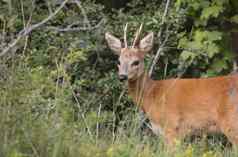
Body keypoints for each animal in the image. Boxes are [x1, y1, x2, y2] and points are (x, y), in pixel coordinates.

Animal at [105, 24, 238, 146]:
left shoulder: (172, 127)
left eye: (136, 62)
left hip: (231, 123)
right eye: (119, 61)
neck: (153, 95)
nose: (122, 76)